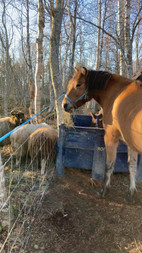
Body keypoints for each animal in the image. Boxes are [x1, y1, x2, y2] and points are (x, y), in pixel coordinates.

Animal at [62, 66, 142, 196]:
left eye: (78, 84)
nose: (64, 104)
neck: (117, 94)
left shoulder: (110, 138)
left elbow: (109, 165)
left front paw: (104, 189)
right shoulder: (131, 143)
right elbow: (132, 165)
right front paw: (132, 190)